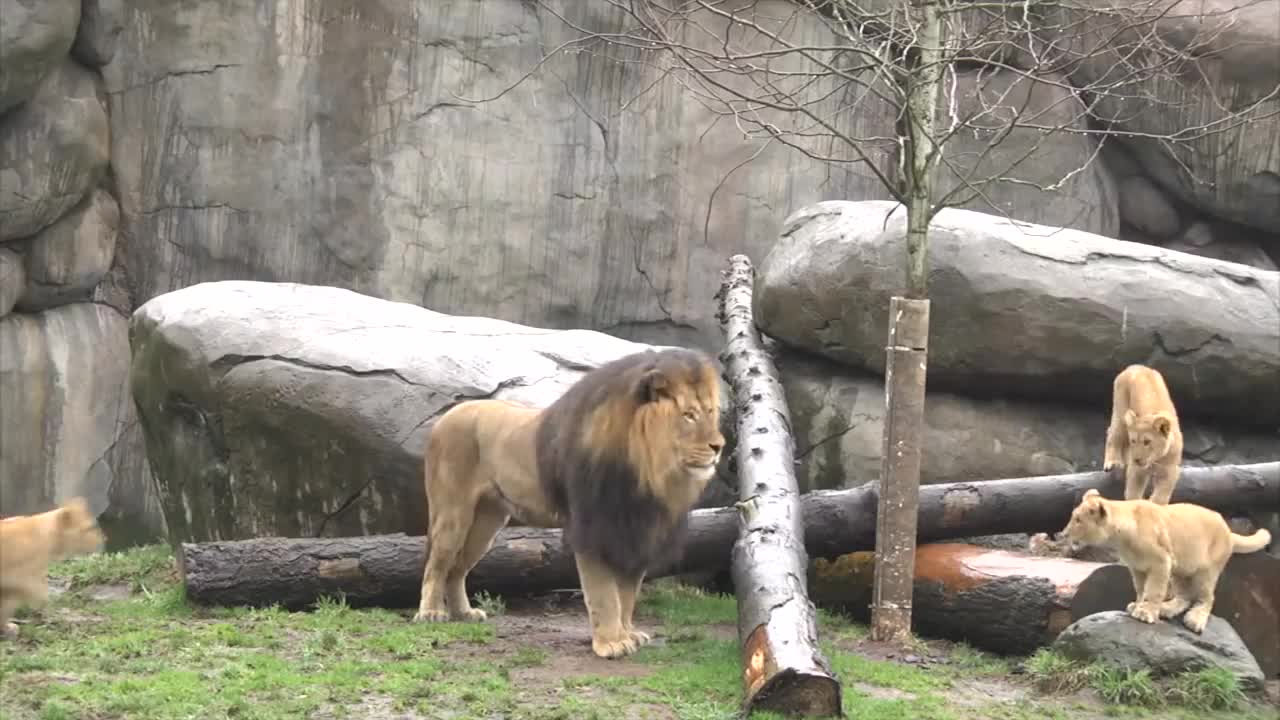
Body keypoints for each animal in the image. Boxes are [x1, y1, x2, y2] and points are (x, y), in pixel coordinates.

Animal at [414, 345, 727, 655]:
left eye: (710, 412)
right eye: (688, 415)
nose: (719, 446)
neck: (646, 470)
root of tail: (446, 416)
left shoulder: (637, 531)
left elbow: (627, 594)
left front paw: (627, 633)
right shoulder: (594, 528)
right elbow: (603, 593)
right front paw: (611, 643)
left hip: (487, 522)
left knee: (457, 569)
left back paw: (463, 613)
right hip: (452, 512)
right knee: (437, 565)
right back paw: (431, 613)